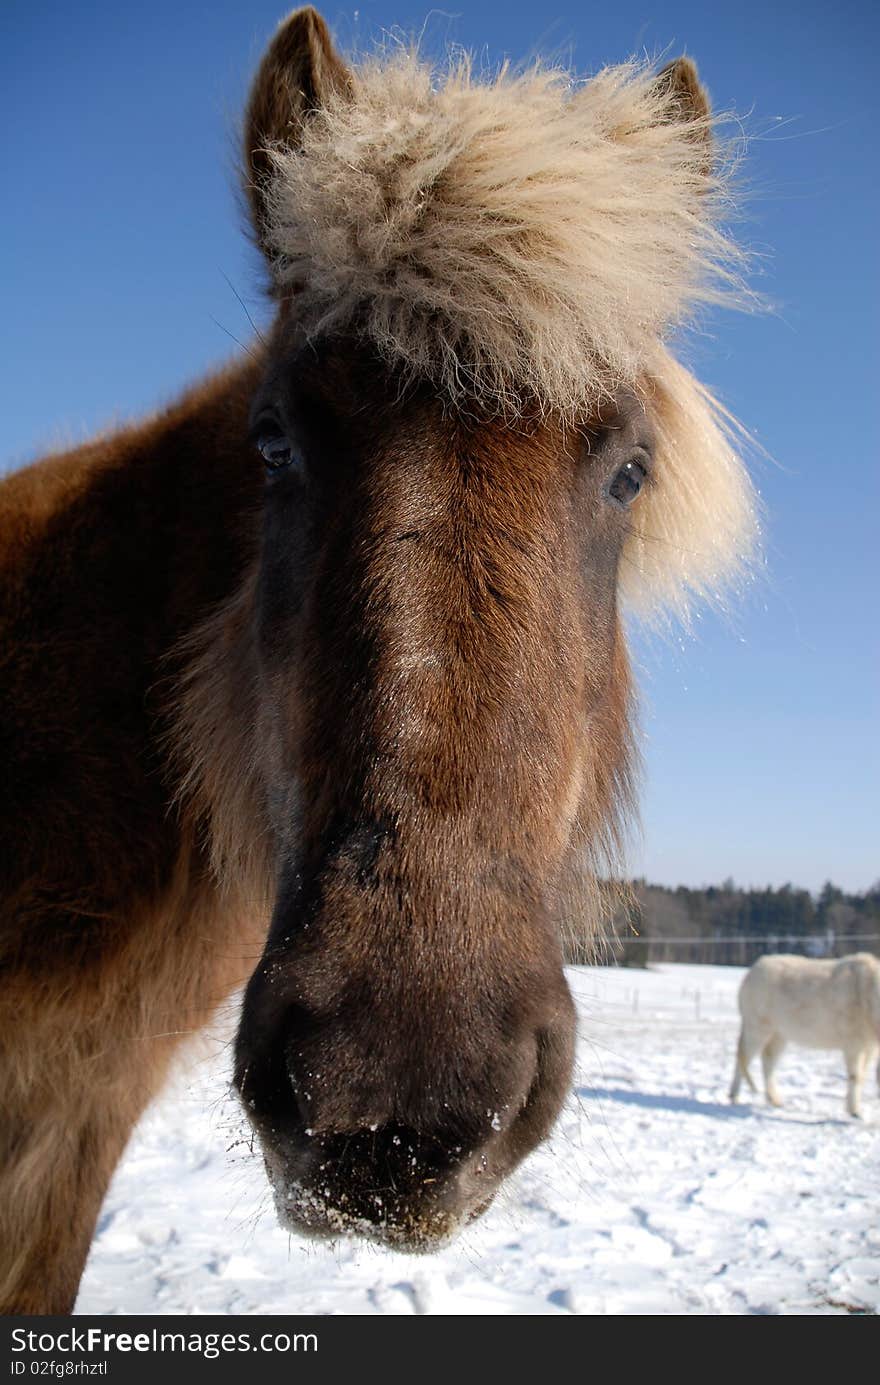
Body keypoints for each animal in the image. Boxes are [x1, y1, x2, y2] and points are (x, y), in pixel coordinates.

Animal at [731, 952, 880, 1113]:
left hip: (780, 1034)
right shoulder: (853, 1044)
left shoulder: (870, 1047)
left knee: (768, 1060)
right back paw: (734, 1097)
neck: (869, 995)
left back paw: (774, 1100)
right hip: (757, 1028)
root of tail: (752, 972)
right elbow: (855, 1076)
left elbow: (863, 1076)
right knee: (743, 1057)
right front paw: (854, 1111)